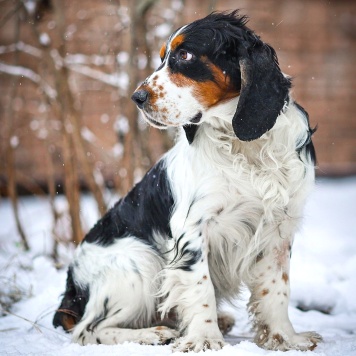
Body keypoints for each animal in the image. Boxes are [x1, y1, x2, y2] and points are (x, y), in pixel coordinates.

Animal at [53, 11, 322, 354]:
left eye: (185, 56)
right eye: (162, 57)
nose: (137, 97)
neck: (243, 146)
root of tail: (72, 287)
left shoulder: (278, 229)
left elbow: (276, 289)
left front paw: (285, 338)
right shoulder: (193, 228)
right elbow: (200, 286)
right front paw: (204, 339)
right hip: (139, 261)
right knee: (87, 330)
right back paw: (153, 334)